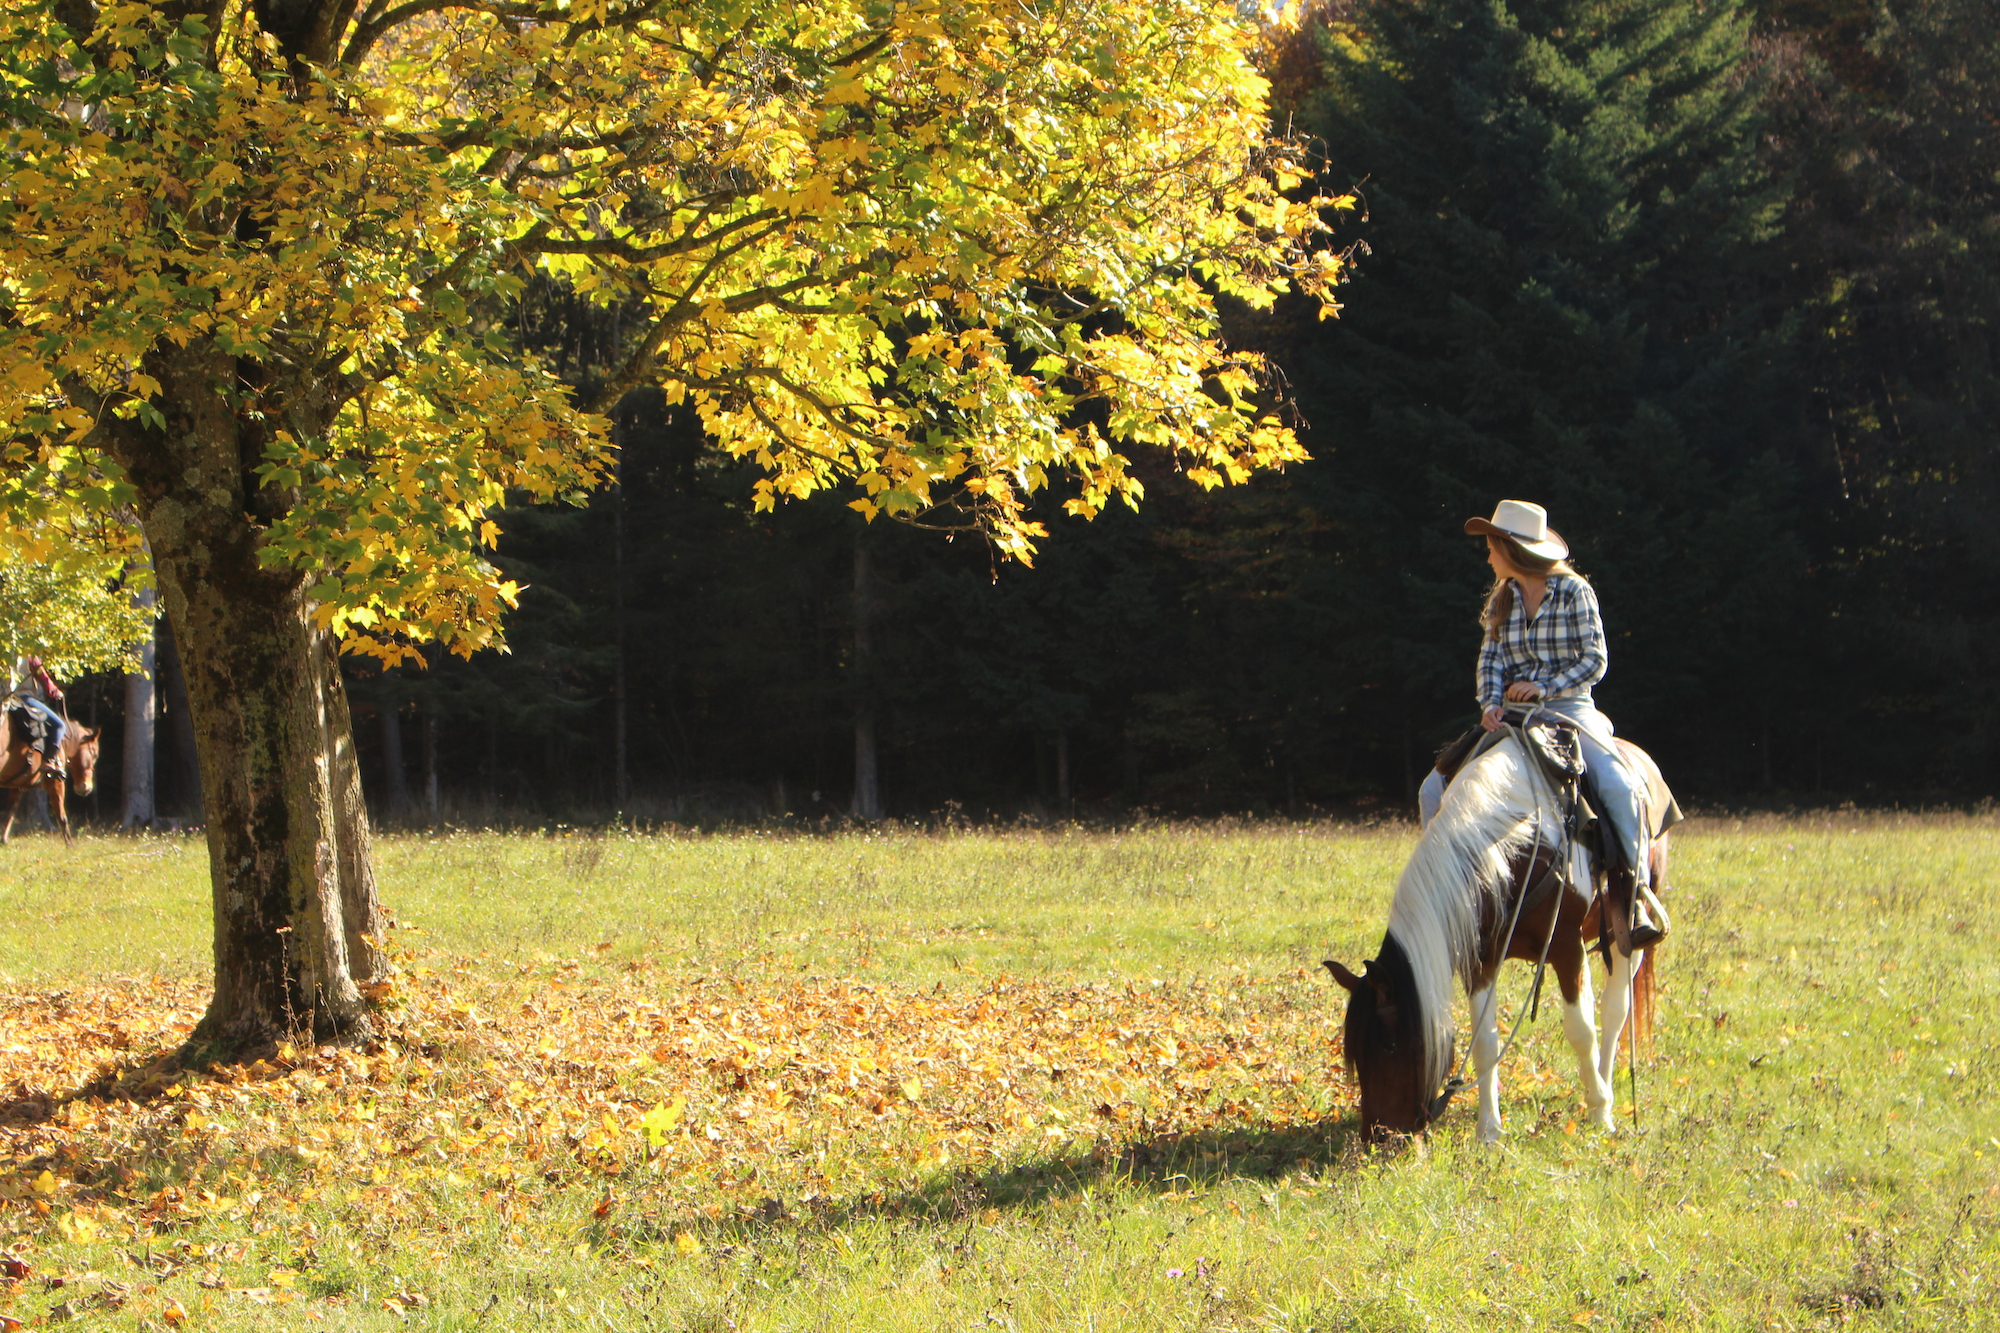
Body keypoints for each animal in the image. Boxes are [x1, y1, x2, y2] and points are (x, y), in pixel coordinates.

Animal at [0, 704, 101, 840]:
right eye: (95, 754)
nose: (86, 787)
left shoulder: (17, 786)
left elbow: (9, 814)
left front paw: (4, 839)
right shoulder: (55, 782)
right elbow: (62, 818)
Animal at [1328, 728, 1672, 1144]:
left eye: (1389, 1045)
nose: (1376, 1136)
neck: (1516, 846)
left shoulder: (1567, 949)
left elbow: (1581, 1030)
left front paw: (1600, 1112)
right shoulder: (1481, 961)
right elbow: (1485, 1039)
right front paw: (1489, 1129)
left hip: (1626, 933)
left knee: (1615, 1009)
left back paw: (1603, 1089)